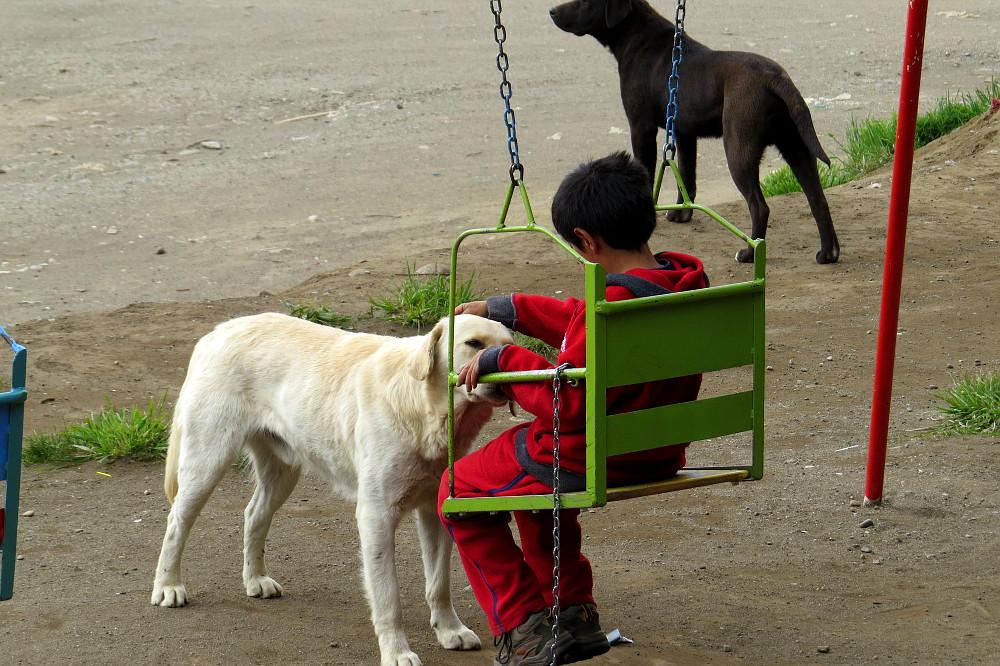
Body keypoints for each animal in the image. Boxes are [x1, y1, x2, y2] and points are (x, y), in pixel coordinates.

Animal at [152, 312, 512, 664]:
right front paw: (396, 652)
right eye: (473, 343)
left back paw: (255, 579)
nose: (506, 374)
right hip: (206, 462)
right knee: (176, 523)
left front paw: (450, 631)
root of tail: (218, 330)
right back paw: (168, 586)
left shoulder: (434, 513)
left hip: (281, 473)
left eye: (509, 345)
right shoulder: (376, 516)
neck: (424, 406)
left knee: (254, 515)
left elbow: (439, 584)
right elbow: (388, 598)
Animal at [552, 0, 840, 264]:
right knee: (818, 199)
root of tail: (775, 77)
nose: (552, 11)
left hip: (739, 148)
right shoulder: (684, 133)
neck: (638, 37)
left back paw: (749, 253)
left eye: (584, 1)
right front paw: (681, 213)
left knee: (759, 207)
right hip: (794, 144)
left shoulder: (640, 127)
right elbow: (687, 175)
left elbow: (647, 170)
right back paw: (828, 253)